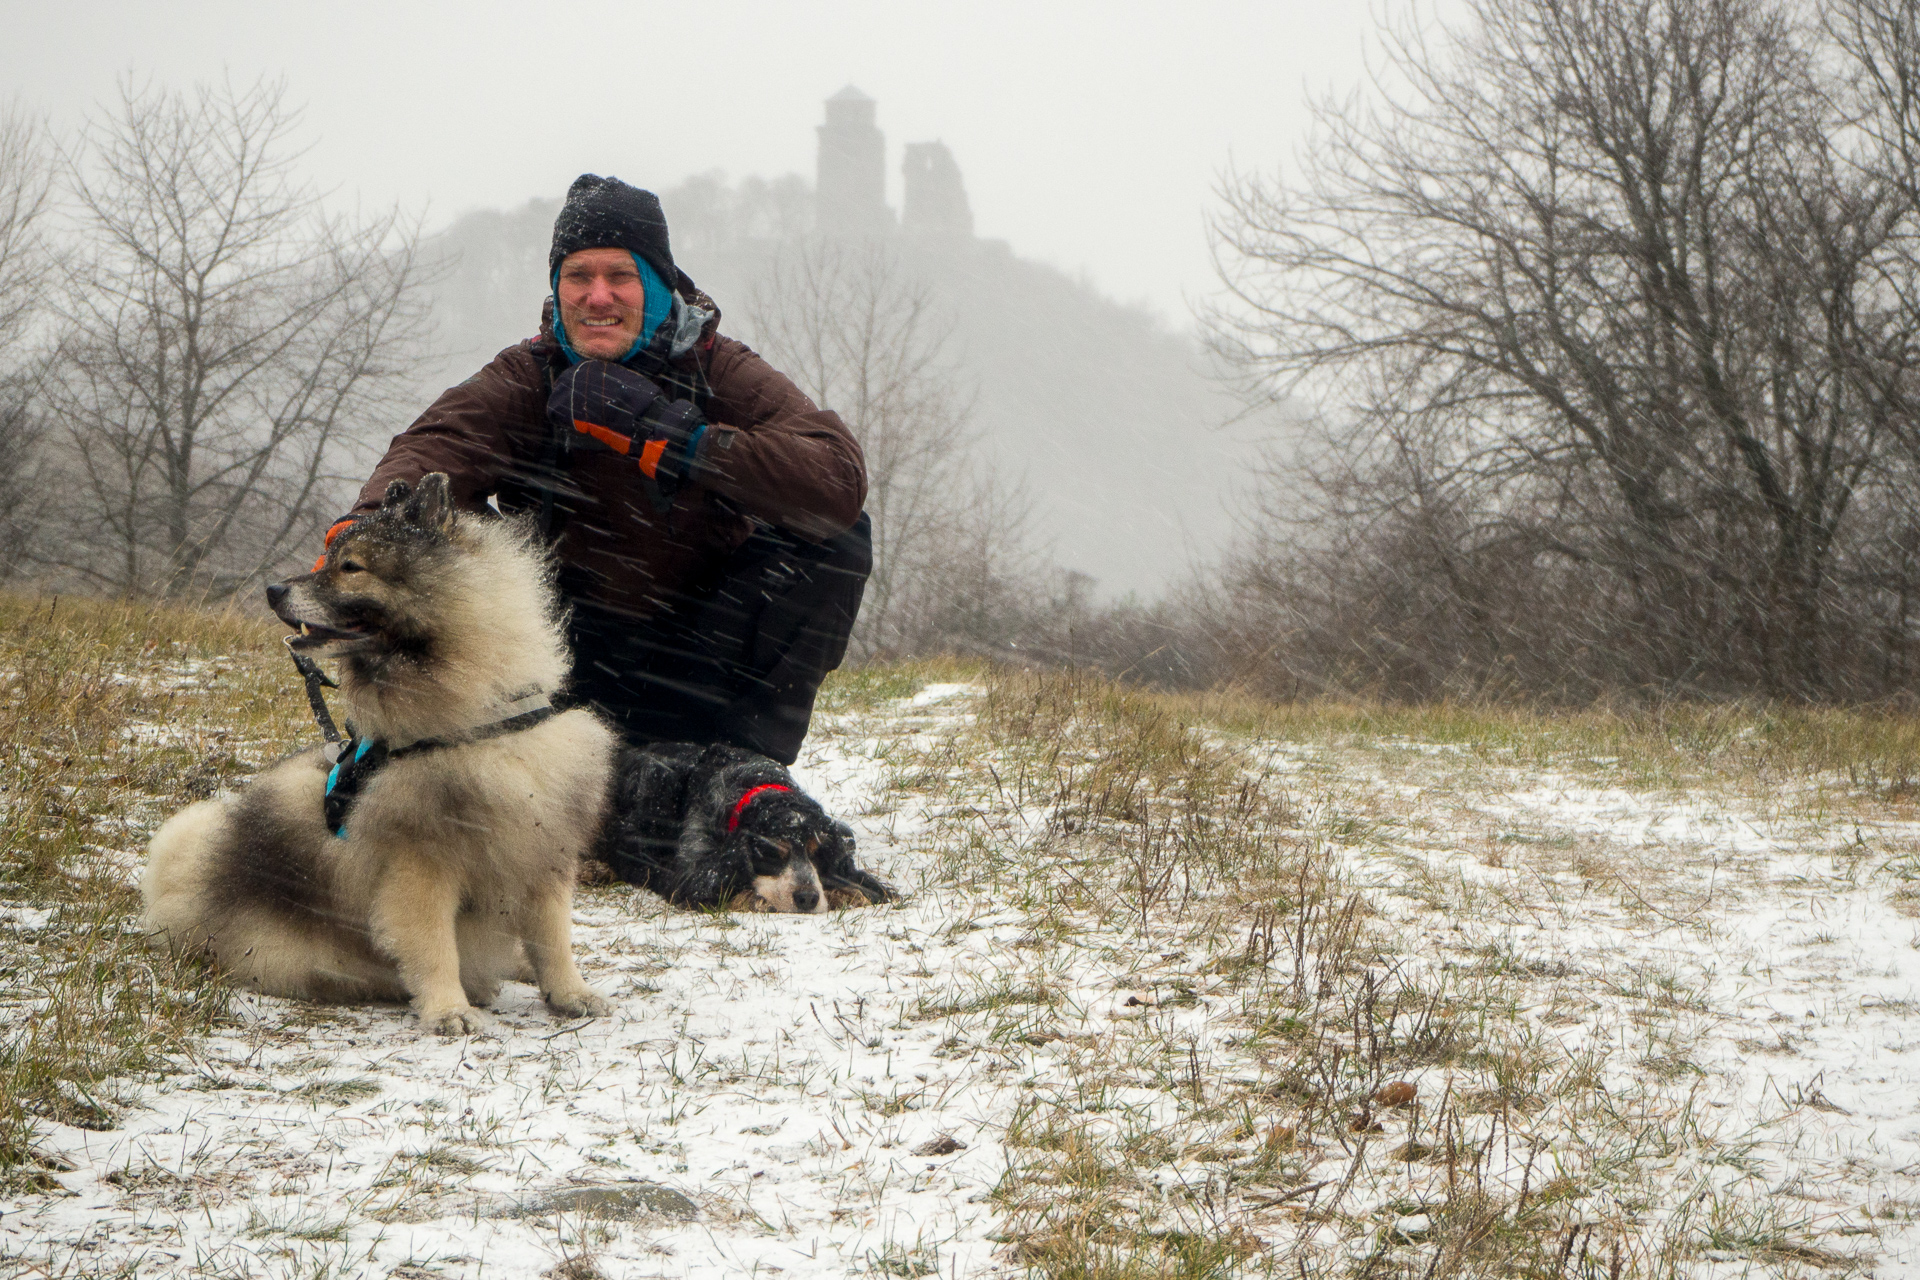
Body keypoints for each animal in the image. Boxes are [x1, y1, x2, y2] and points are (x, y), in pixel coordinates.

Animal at [143, 475, 614, 1036]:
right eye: (330, 559)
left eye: (351, 567)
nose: (272, 589)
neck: (476, 721)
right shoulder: (421, 864)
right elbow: (434, 946)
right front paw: (448, 1009)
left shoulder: (544, 847)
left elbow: (552, 937)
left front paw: (569, 993)